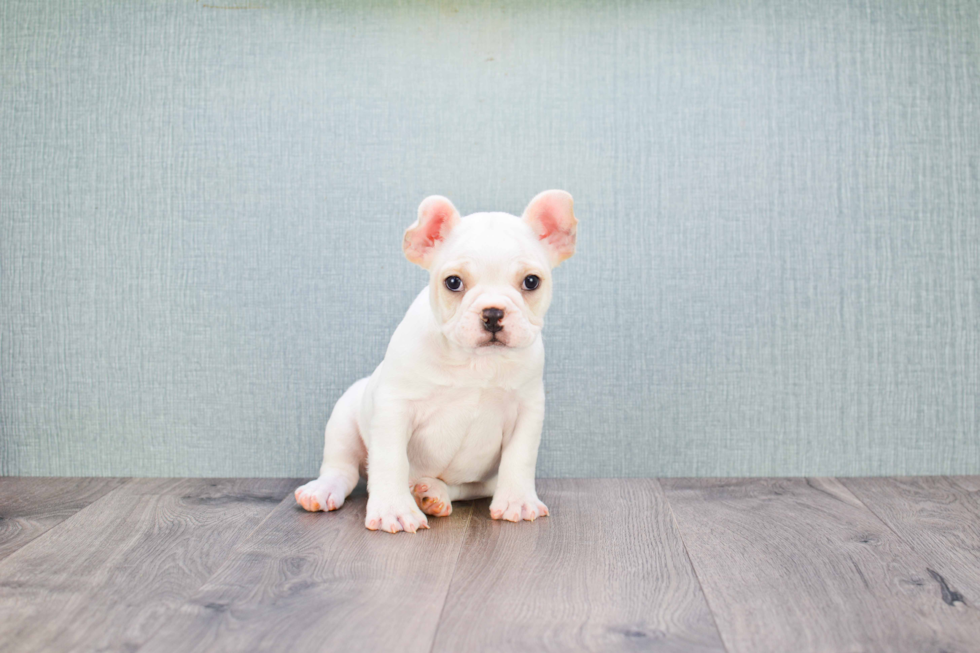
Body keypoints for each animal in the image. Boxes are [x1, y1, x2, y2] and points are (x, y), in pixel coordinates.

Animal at [294, 190, 580, 536]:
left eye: (531, 282)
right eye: (453, 282)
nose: (493, 313)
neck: (475, 361)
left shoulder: (527, 411)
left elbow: (519, 458)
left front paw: (518, 501)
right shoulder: (394, 408)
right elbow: (390, 460)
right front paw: (393, 509)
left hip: (480, 479)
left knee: (467, 487)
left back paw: (434, 493)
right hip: (345, 418)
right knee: (343, 468)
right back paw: (323, 490)